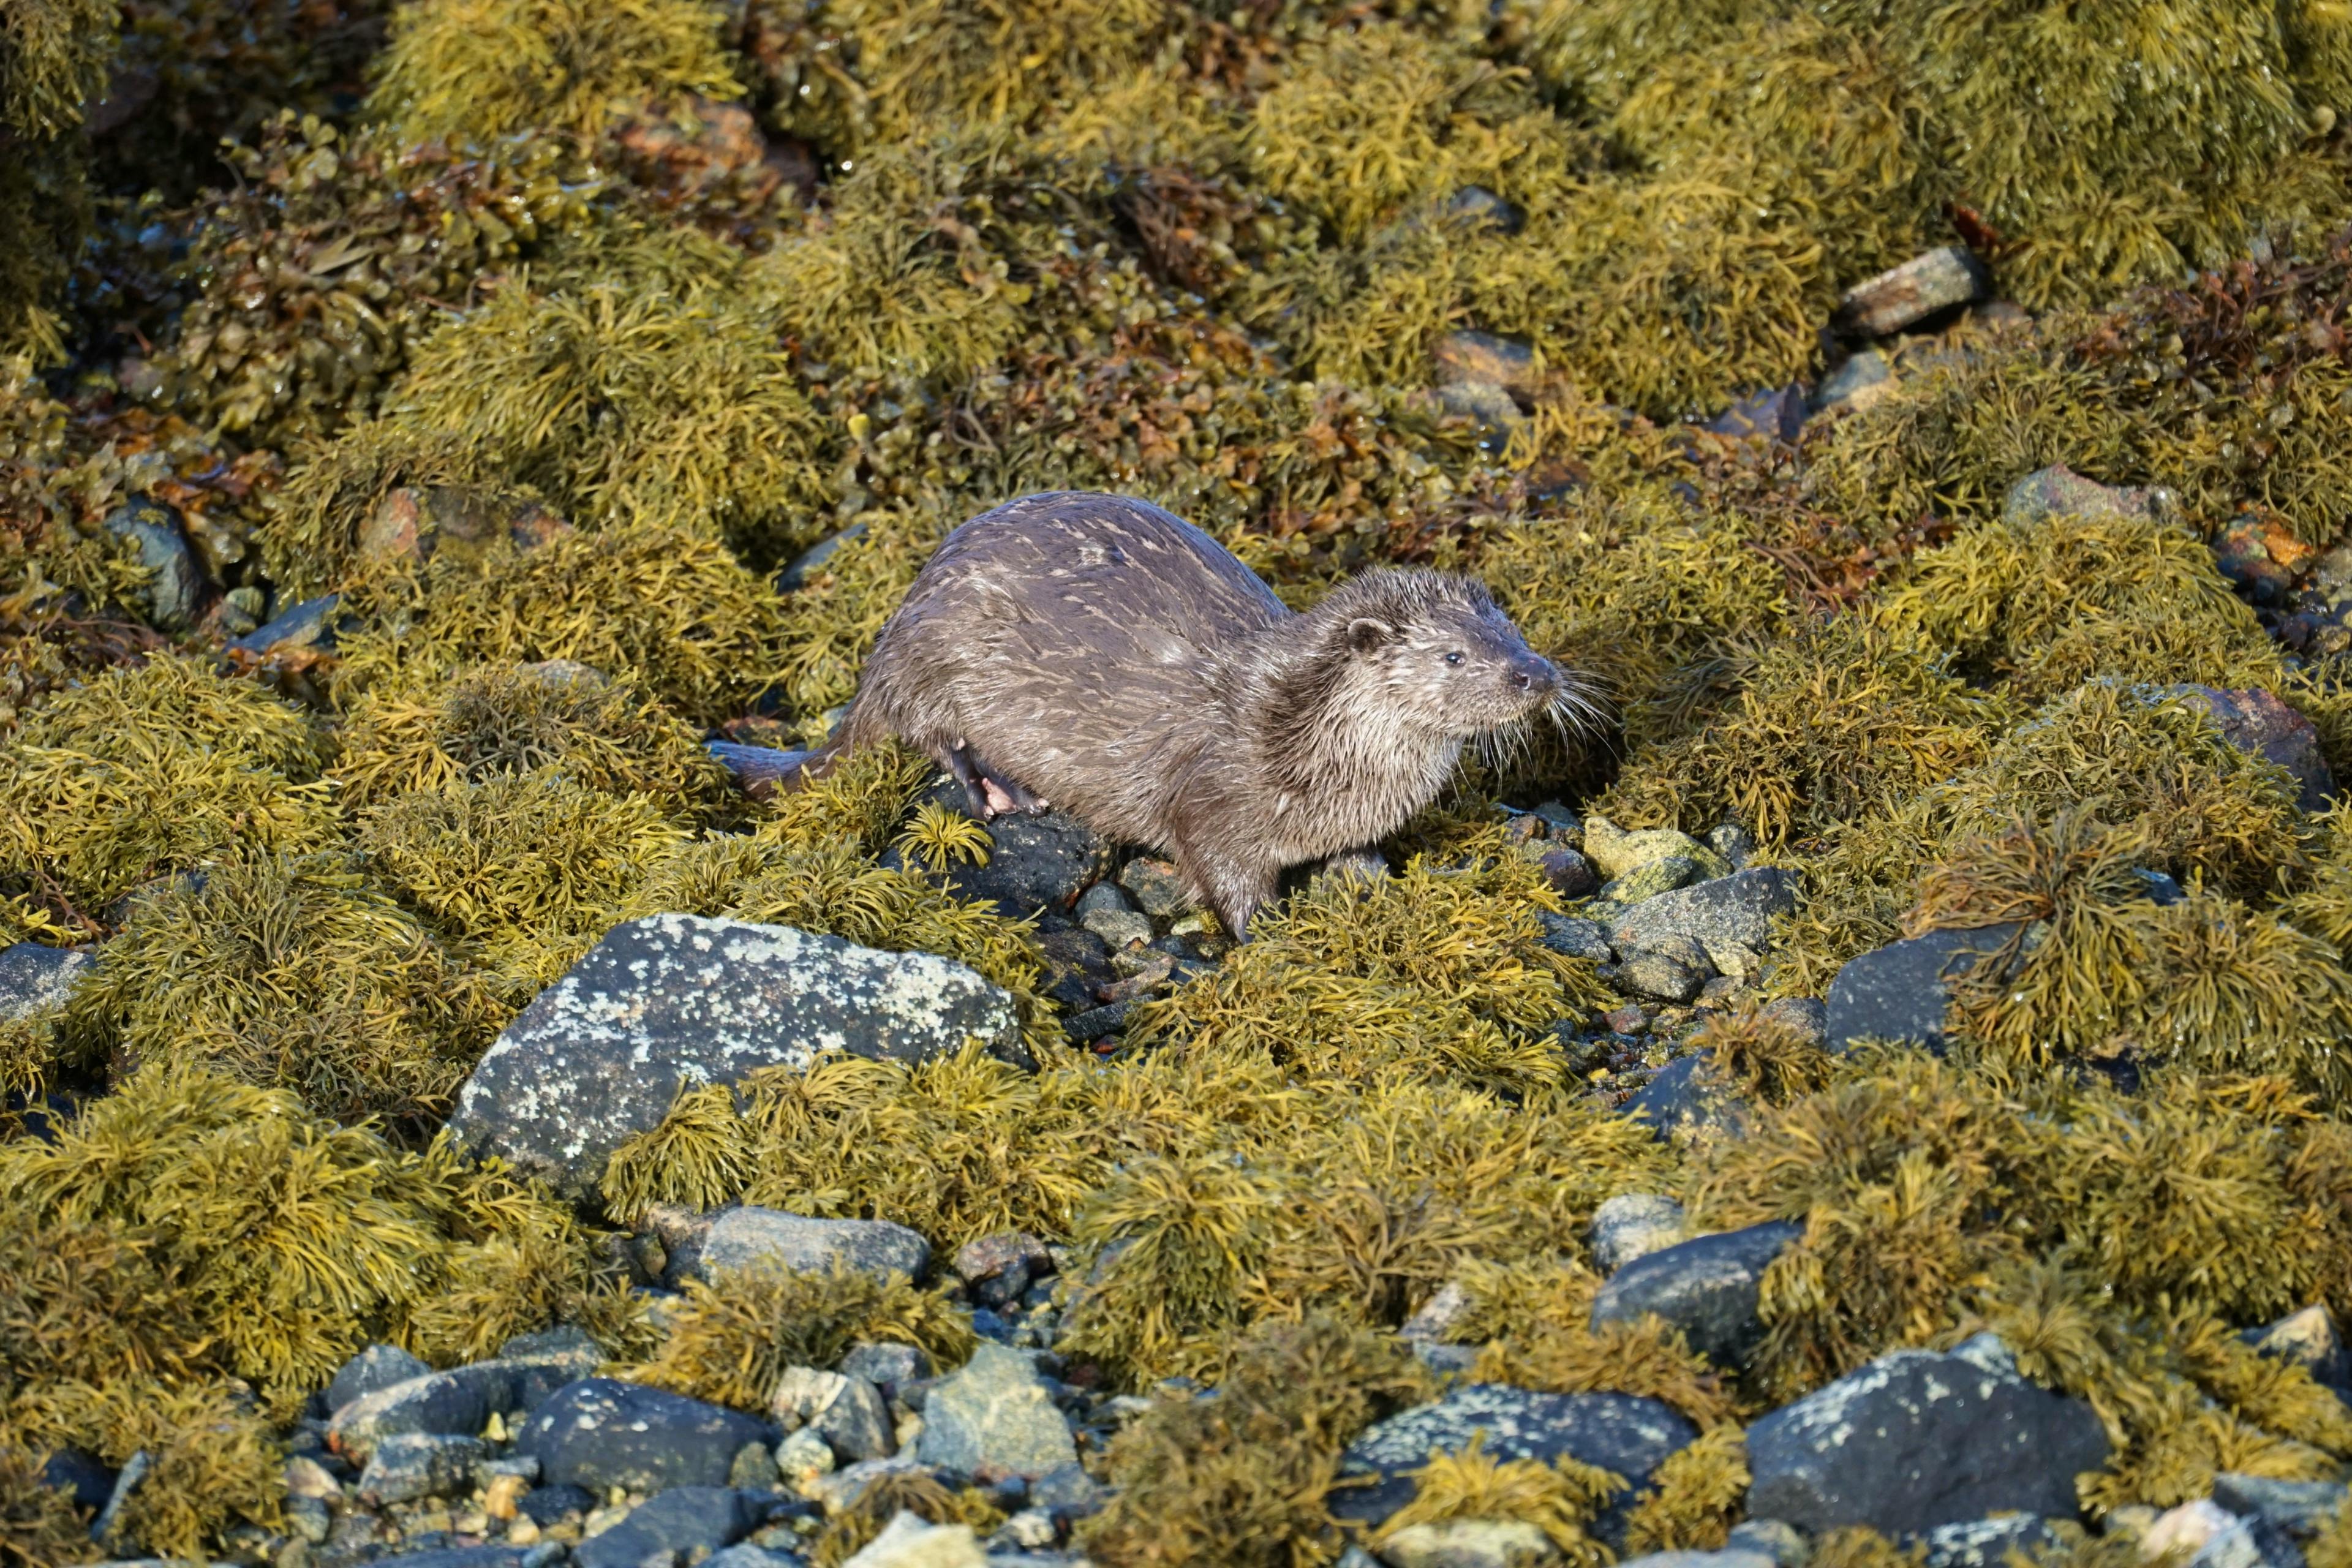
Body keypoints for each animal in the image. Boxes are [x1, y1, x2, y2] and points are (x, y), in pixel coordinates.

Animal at [772, 491, 1588, 938]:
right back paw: (999, 789)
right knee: (928, 730)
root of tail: (908, 600)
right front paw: (1274, 936)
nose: (1538, 674)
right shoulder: (1215, 797)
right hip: (938, 648)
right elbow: (1224, 875)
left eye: (1510, 628)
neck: (1298, 742)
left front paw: (1367, 884)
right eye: (1454, 655)